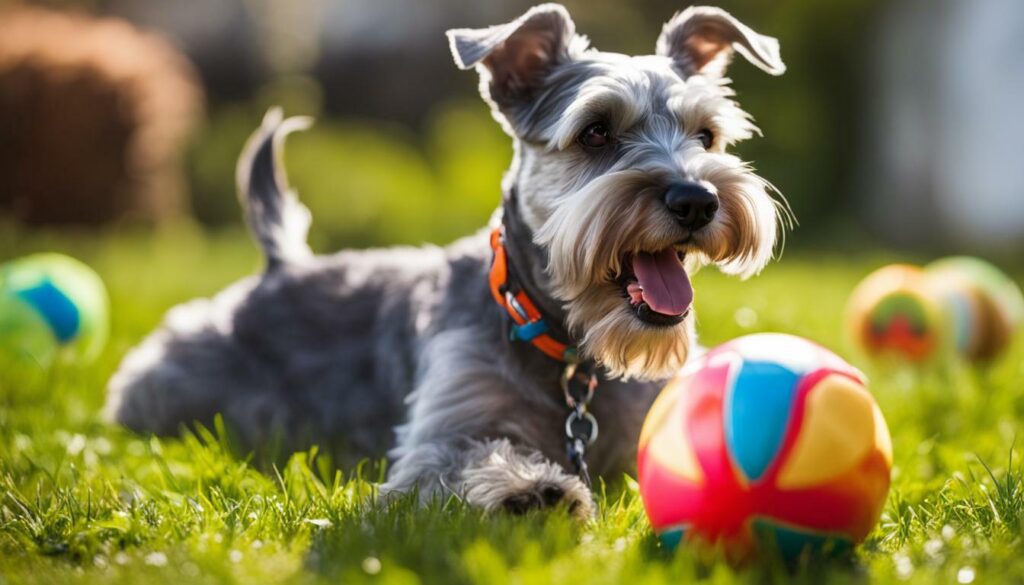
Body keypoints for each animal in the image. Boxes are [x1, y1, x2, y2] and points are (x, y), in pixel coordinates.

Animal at [103, 3, 786, 516]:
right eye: (596, 130)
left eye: (707, 136)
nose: (697, 199)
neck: (571, 352)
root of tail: (281, 264)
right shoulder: (445, 426)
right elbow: (455, 458)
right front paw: (527, 488)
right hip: (169, 387)